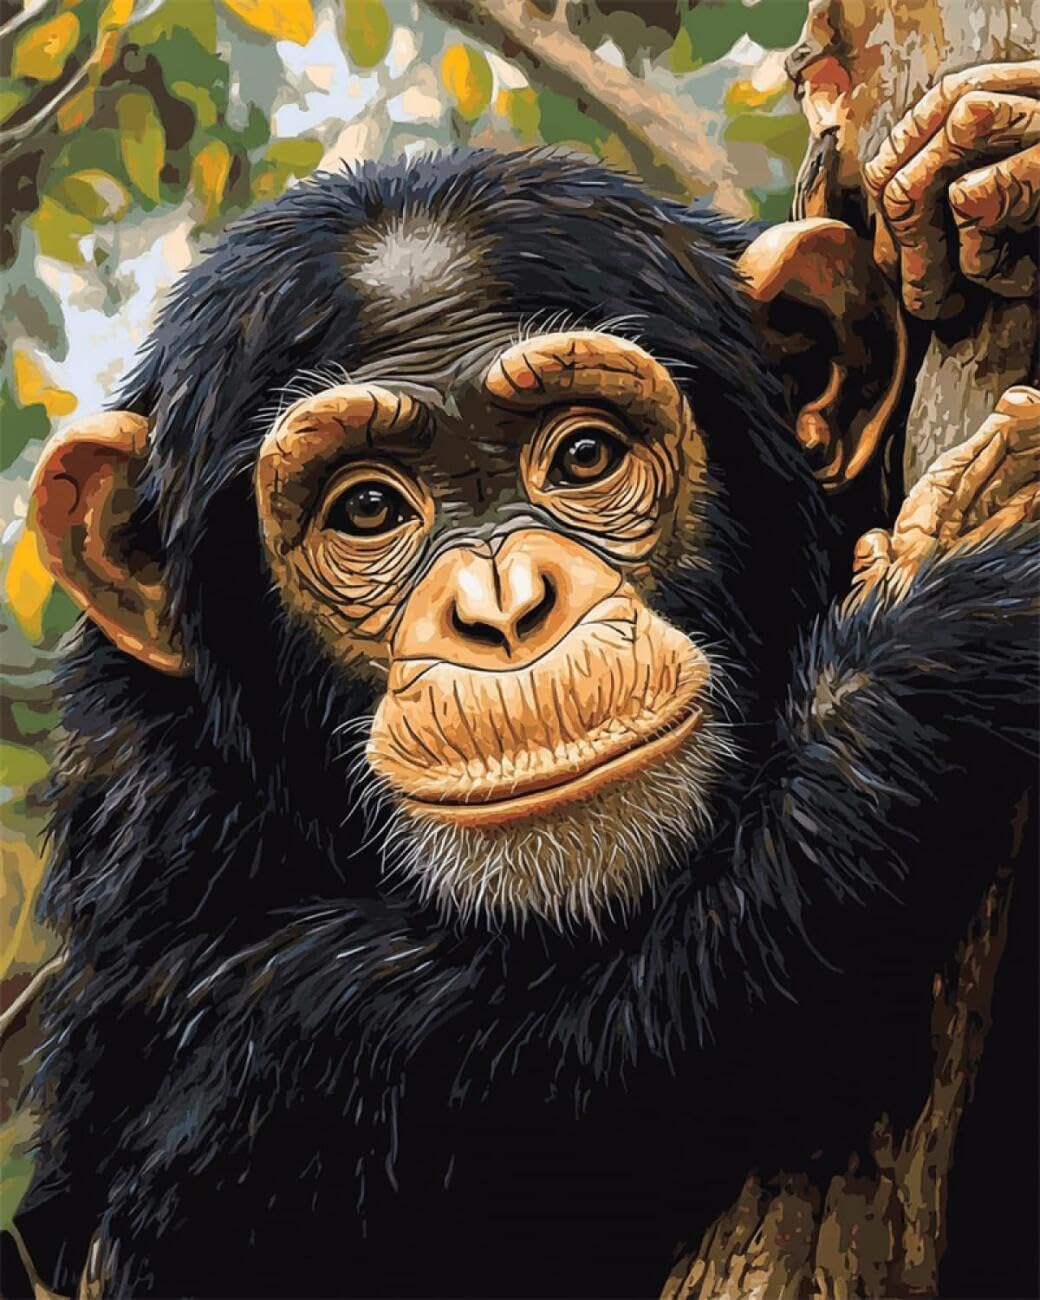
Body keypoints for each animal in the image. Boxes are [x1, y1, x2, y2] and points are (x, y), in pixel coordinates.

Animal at [3, 147, 1037, 1299]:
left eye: (583, 455)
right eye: (368, 510)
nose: (502, 611)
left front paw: (987, 149)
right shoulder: (156, 845)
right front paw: (930, 653)